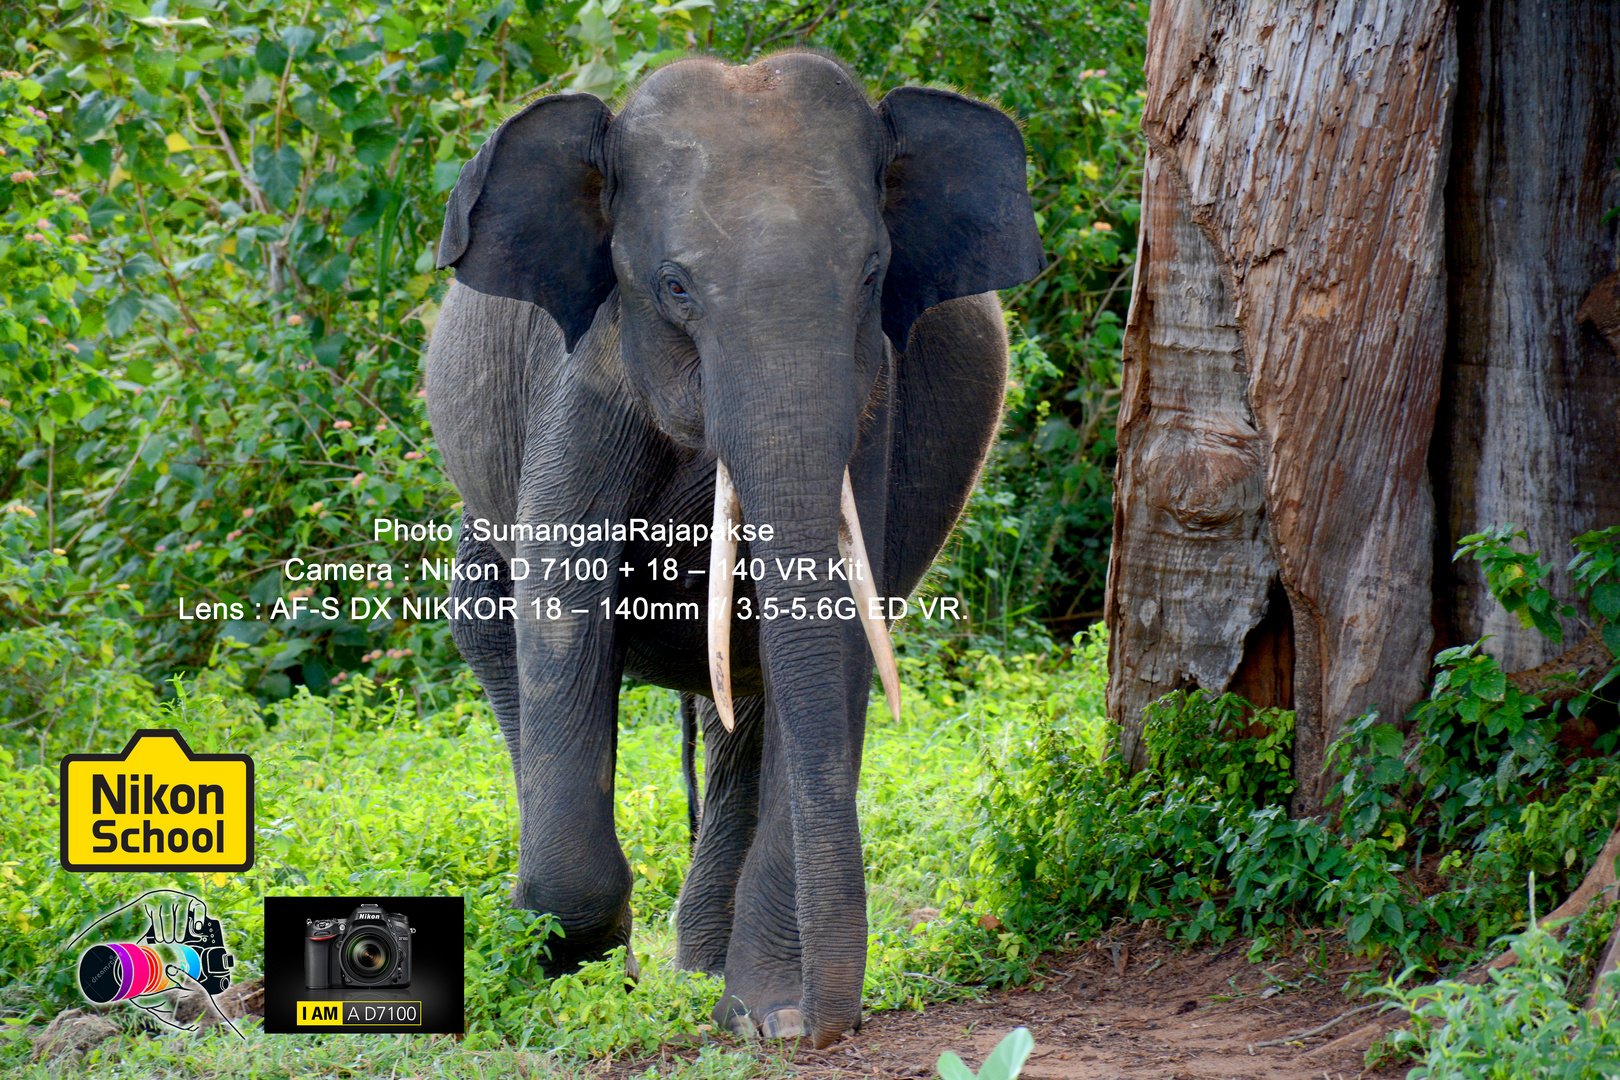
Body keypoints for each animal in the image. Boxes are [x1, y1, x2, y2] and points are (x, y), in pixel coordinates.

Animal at [424, 48, 1043, 1049]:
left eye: (873, 274)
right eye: (675, 287)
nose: (829, 1026)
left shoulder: (878, 394)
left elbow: (837, 641)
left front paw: (768, 1016)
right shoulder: (586, 373)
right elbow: (561, 609)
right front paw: (572, 974)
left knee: (746, 706)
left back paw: (706, 973)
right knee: (487, 623)